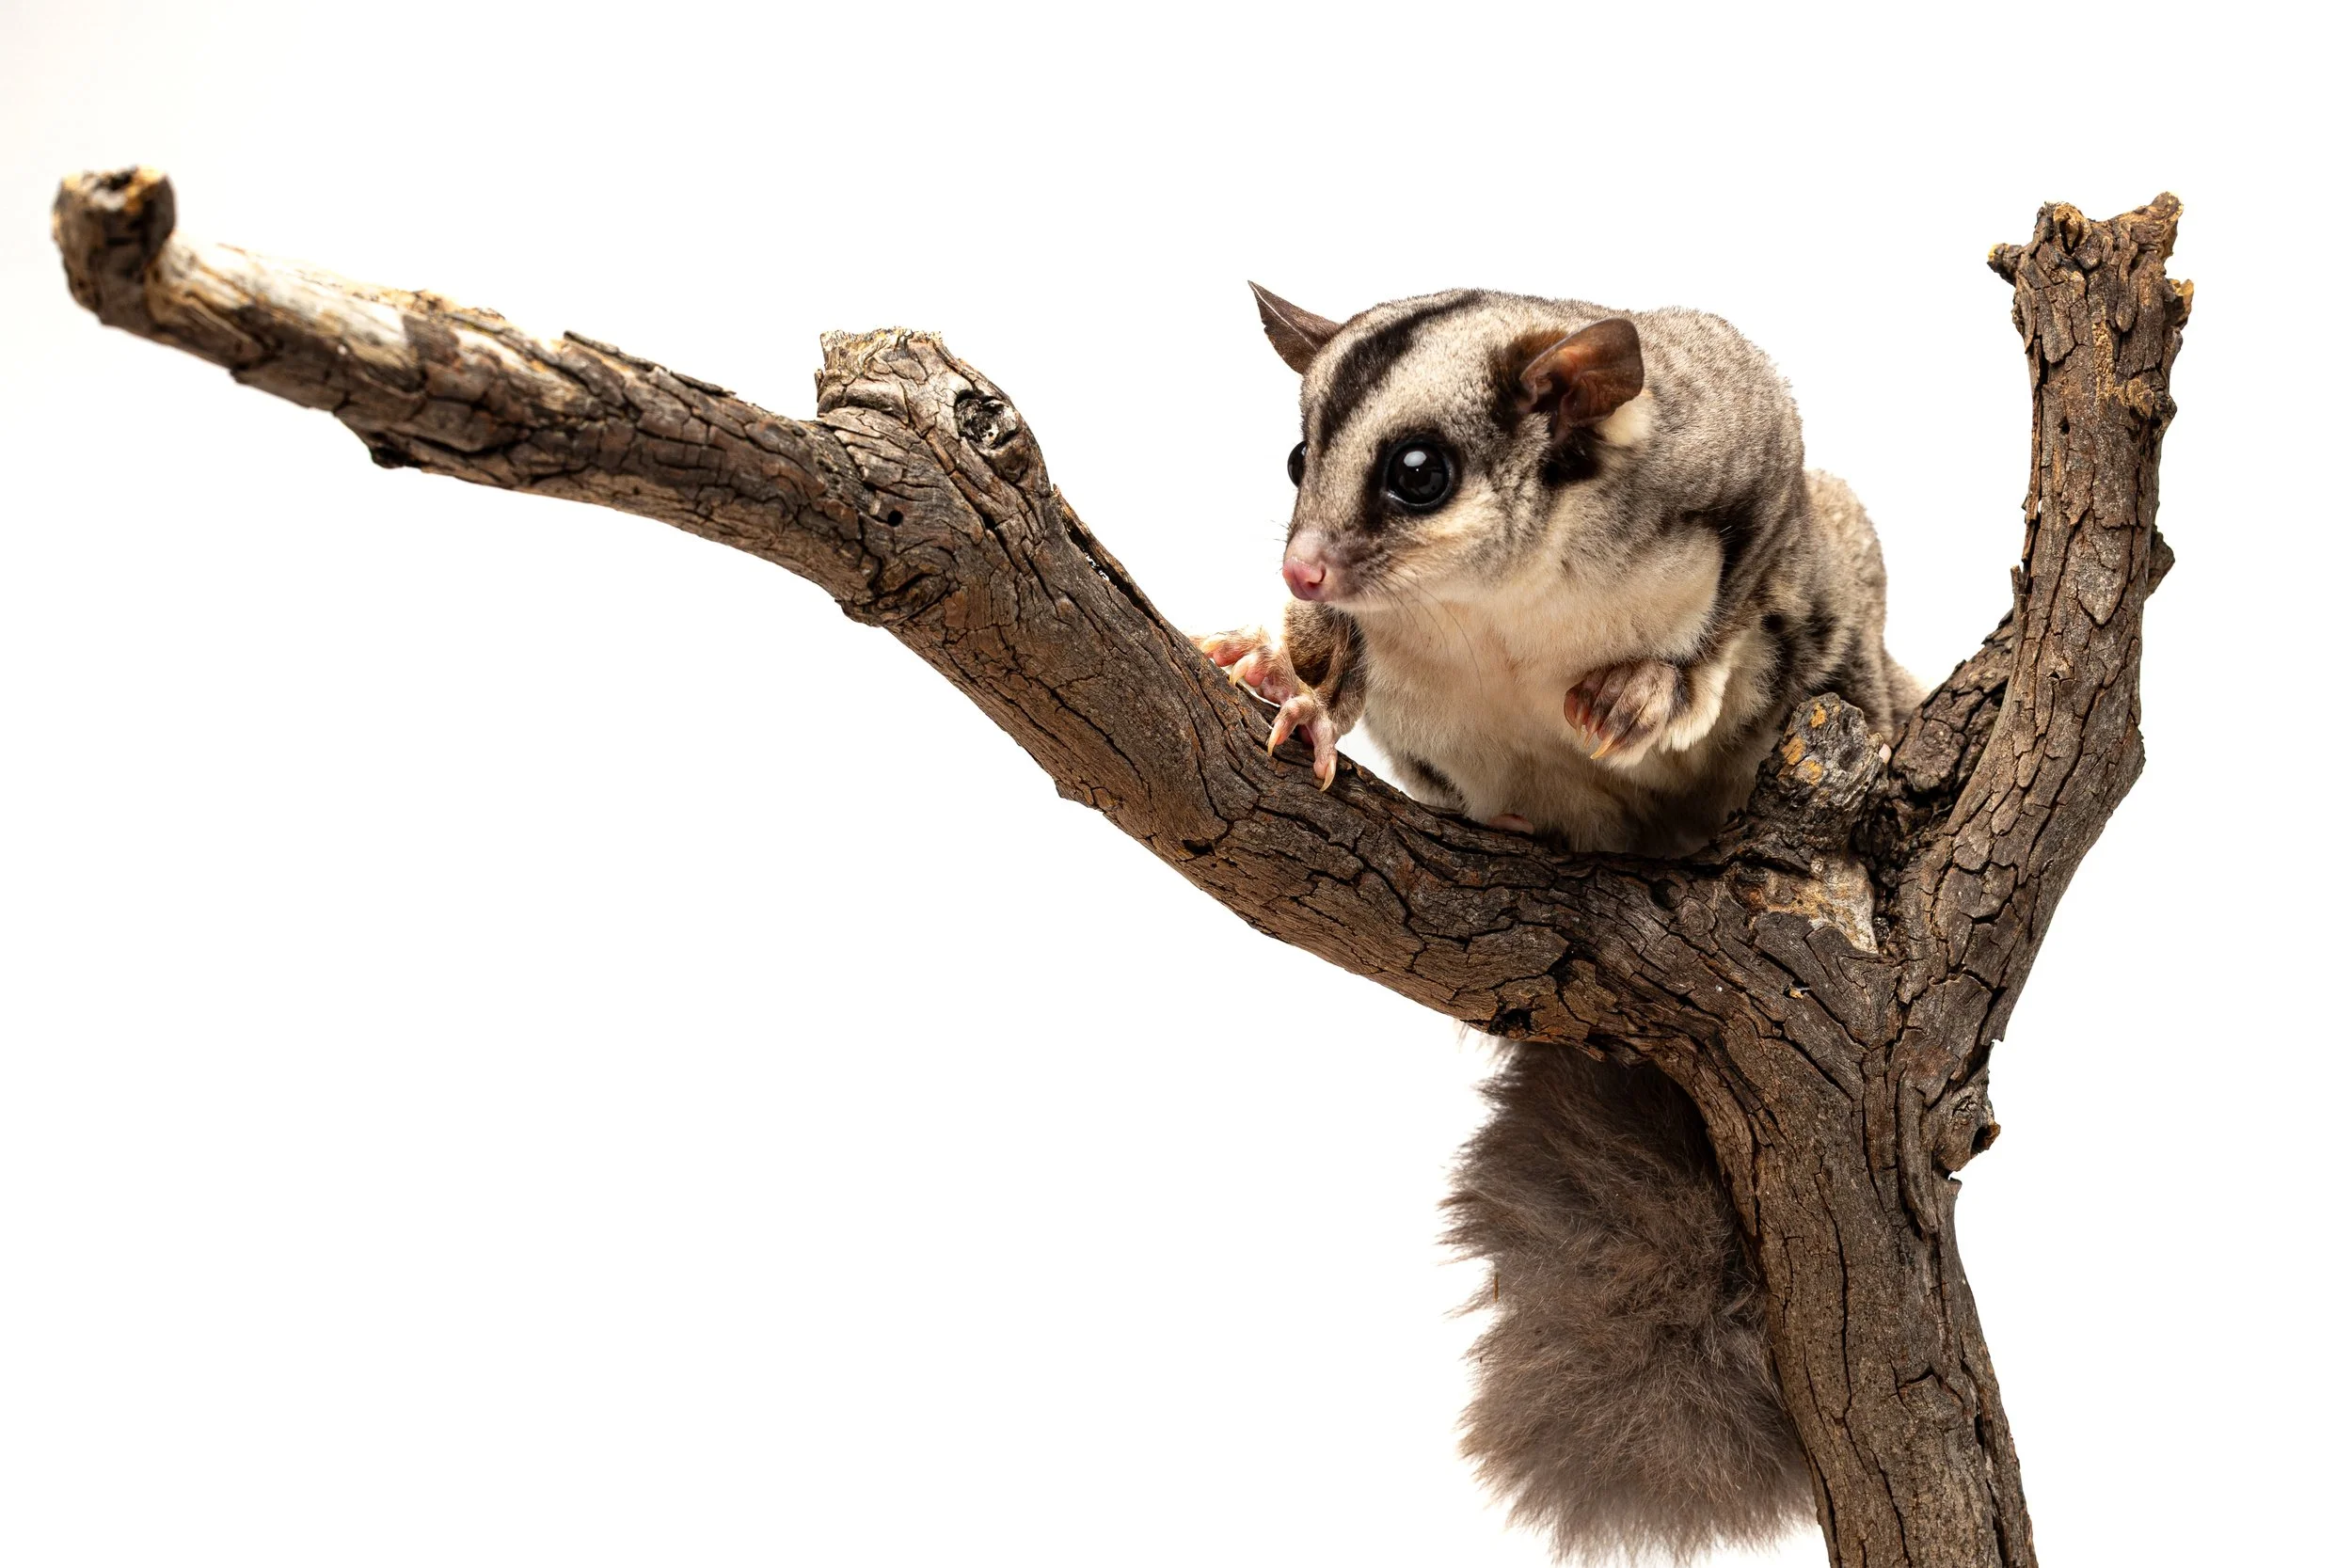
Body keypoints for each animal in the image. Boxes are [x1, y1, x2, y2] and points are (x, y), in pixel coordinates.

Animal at [1197, 284, 1920, 1562]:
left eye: (1417, 473)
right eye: (1294, 457)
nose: (1303, 564)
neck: (1498, 590)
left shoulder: (1745, 448)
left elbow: (1751, 572)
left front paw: (1647, 694)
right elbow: (1338, 666)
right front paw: (1288, 674)